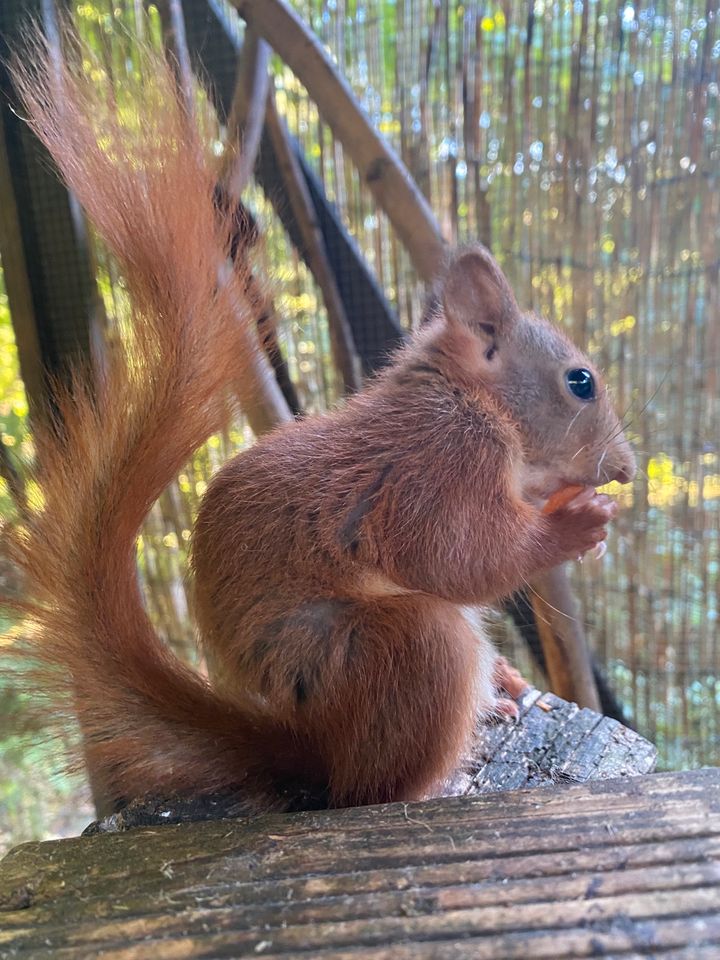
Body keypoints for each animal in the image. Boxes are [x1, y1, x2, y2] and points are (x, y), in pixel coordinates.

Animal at [2, 37, 632, 816]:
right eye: (581, 382)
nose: (625, 469)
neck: (470, 400)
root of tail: (307, 748)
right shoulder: (437, 464)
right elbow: (457, 557)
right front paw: (574, 526)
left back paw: (506, 685)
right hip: (402, 650)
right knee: (370, 784)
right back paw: (435, 772)